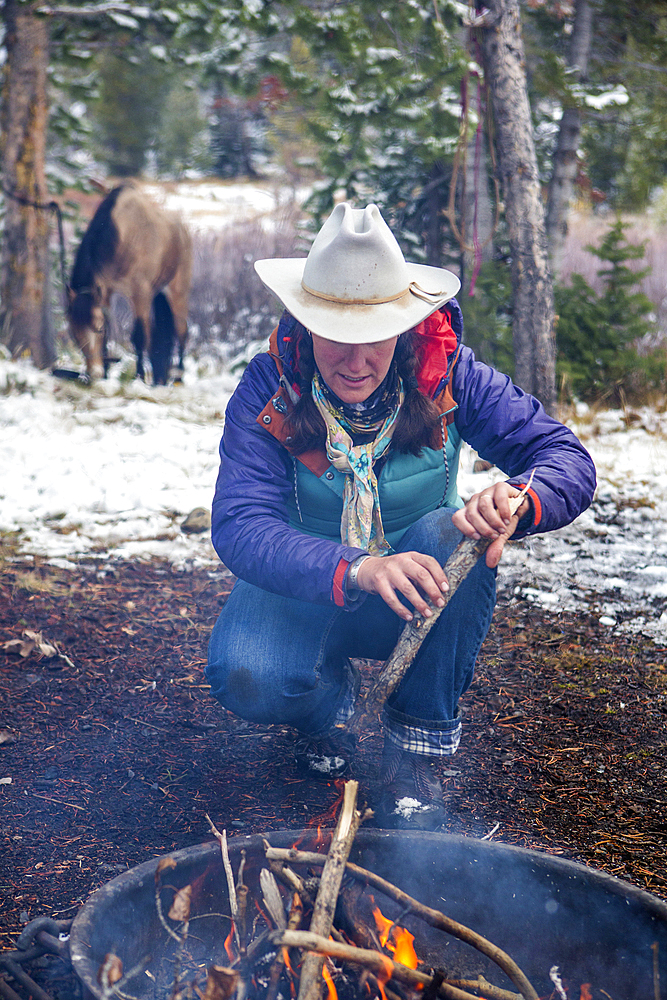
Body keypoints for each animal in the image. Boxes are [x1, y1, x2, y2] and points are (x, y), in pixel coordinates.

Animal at [67, 182, 193, 384]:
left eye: (98, 329)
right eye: (74, 333)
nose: (93, 373)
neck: (121, 236)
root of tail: (183, 232)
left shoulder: (140, 292)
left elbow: (140, 336)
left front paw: (139, 376)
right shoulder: (106, 291)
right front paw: (106, 373)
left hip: (178, 290)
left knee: (181, 331)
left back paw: (178, 376)